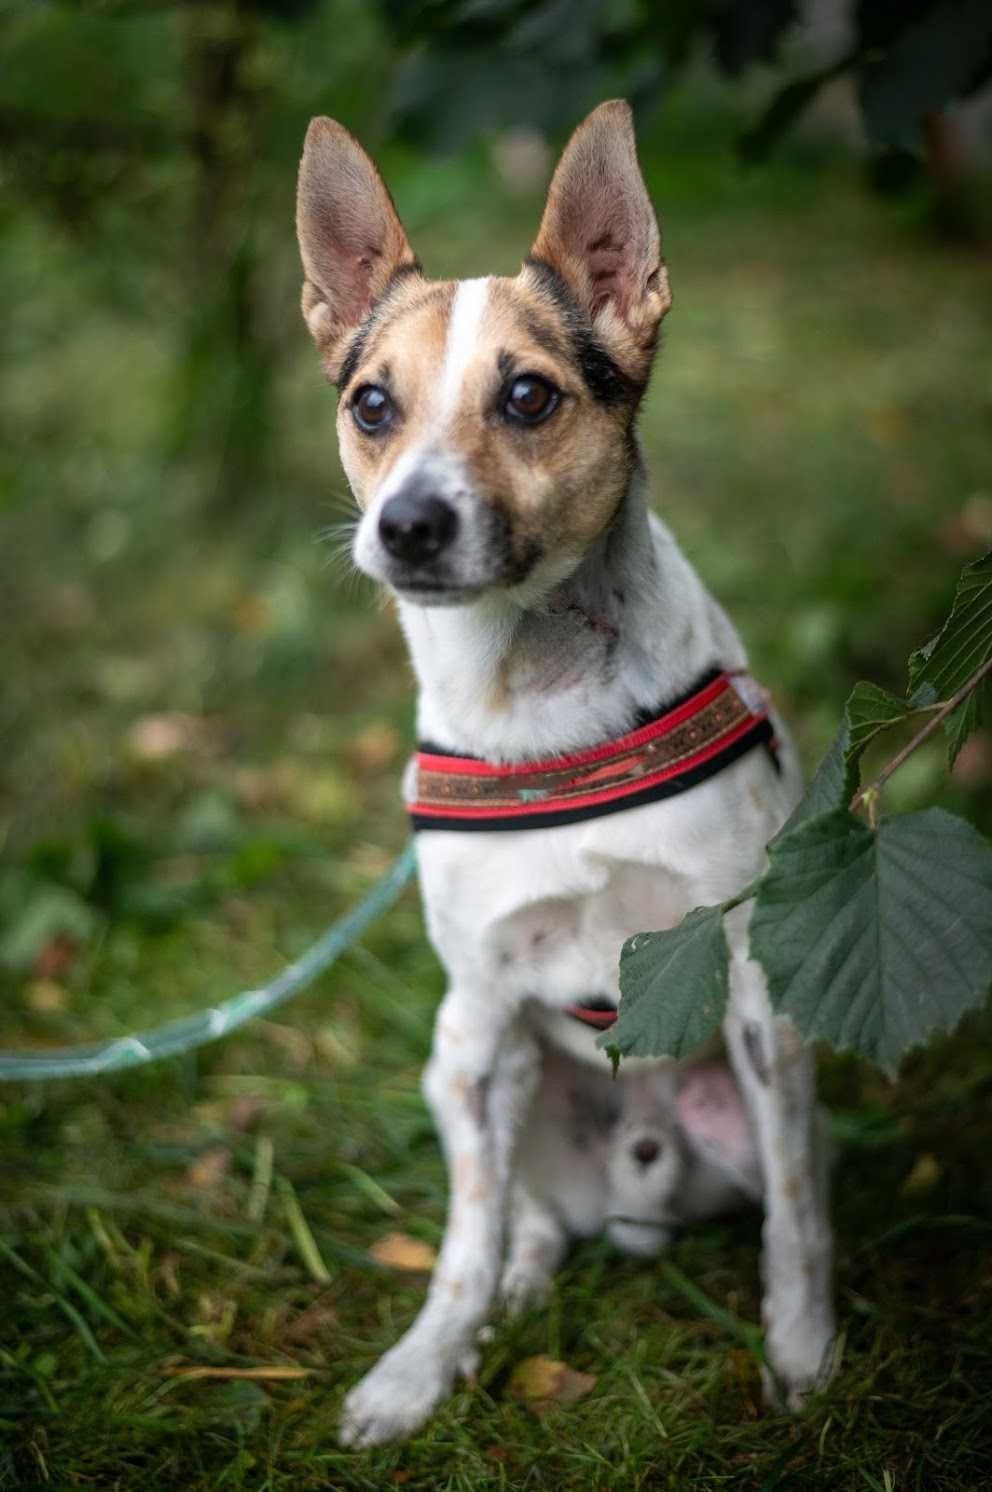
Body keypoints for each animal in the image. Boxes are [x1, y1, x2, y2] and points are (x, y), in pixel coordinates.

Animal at [295, 96, 835, 1444]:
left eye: (529, 396)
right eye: (371, 406)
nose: (405, 526)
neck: (544, 709)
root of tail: (632, 1172)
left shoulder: (758, 996)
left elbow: (797, 1218)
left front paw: (803, 1349)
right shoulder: (485, 1007)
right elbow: (463, 1237)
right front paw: (421, 1364)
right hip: (459, 1067)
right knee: (512, 1212)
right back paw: (509, 1293)